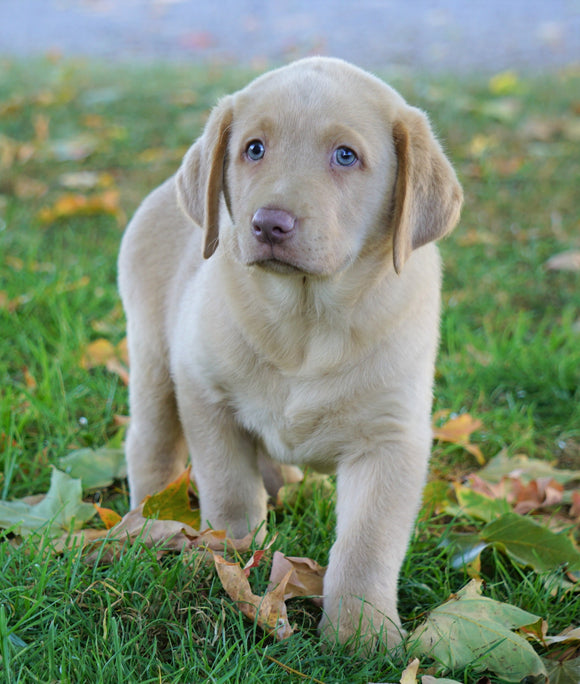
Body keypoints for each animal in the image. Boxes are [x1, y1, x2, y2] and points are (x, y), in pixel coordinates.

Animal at [118, 56, 462, 648]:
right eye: (254, 149)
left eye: (345, 155)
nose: (269, 224)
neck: (306, 322)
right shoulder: (206, 396)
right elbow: (230, 492)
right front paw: (230, 558)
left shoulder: (391, 439)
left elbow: (367, 543)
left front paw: (361, 635)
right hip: (155, 361)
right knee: (152, 447)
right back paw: (151, 523)